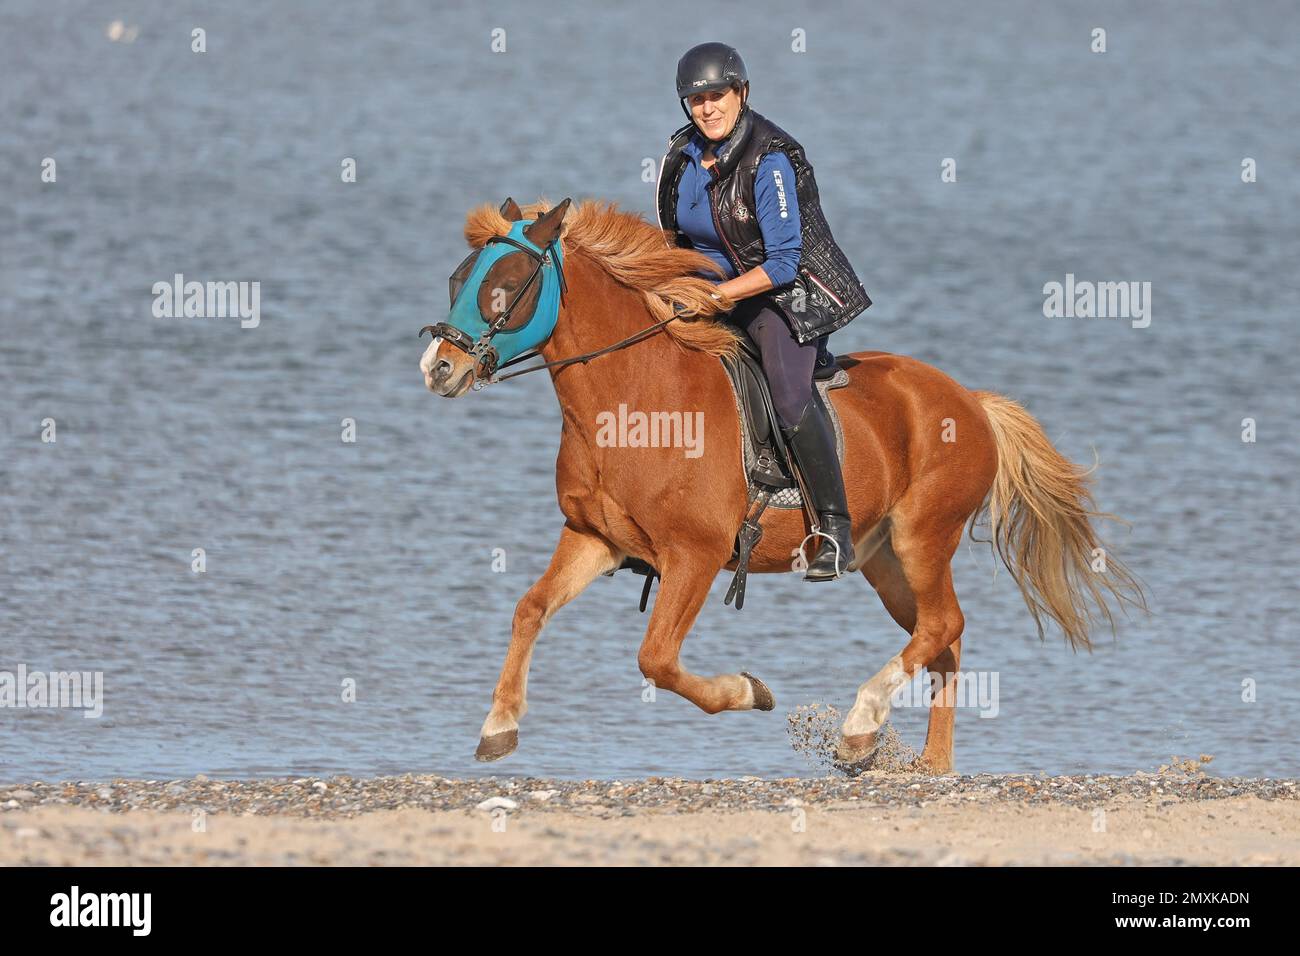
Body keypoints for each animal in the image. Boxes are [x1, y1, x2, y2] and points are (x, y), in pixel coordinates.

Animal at [421, 197, 1144, 775]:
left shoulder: (695, 556)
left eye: (505, 284)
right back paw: (928, 763)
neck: (631, 402)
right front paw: (498, 727)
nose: (438, 367)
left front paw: (750, 690)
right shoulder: (594, 539)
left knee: (946, 623)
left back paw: (858, 728)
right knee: (944, 640)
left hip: (922, 540)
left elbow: (657, 660)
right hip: (884, 561)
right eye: (457, 277)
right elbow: (530, 609)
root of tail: (970, 402)